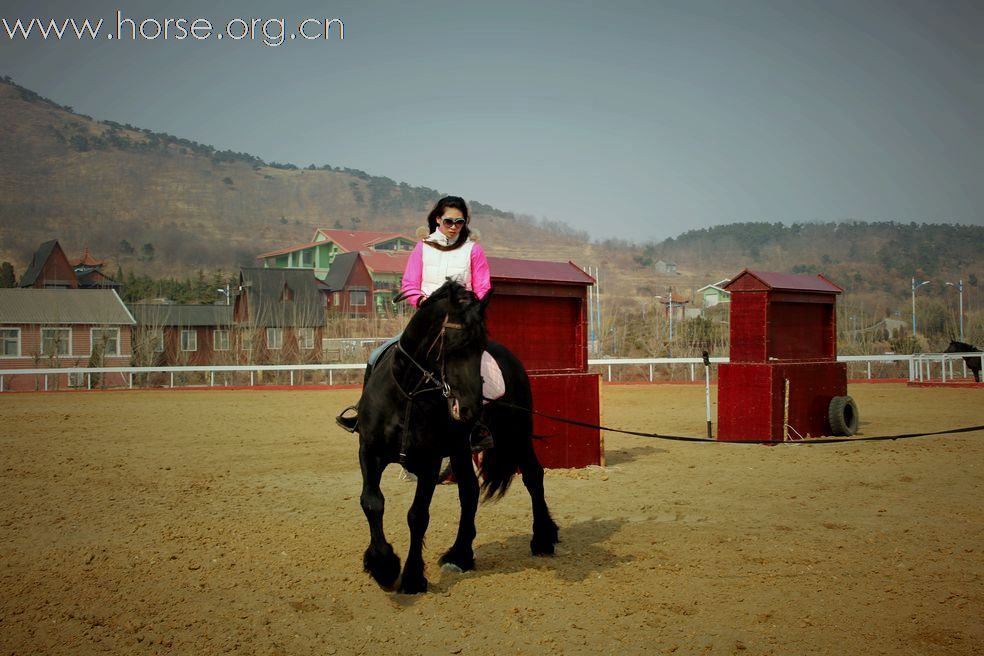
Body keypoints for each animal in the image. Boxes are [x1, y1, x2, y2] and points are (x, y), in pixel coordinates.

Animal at [356, 282, 556, 596]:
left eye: (479, 347)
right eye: (452, 344)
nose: (471, 407)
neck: (408, 394)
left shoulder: (429, 462)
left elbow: (418, 515)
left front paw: (412, 577)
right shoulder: (370, 451)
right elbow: (372, 502)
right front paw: (383, 567)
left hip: (516, 435)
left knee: (533, 476)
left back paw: (543, 539)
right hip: (462, 449)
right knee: (470, 491)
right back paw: (460, 555)